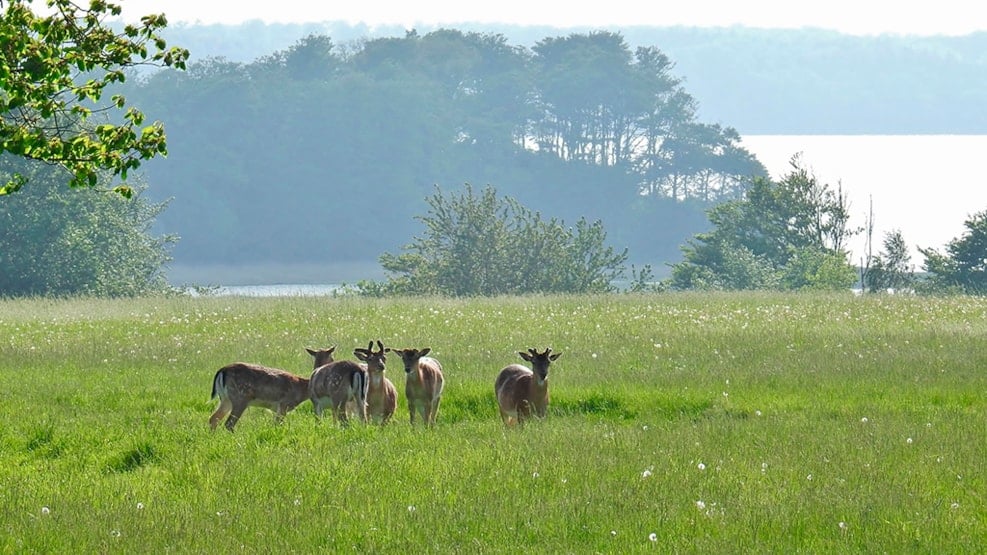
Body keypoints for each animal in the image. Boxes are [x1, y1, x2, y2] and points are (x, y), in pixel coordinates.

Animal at [208, 346, 336, 432]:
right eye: (332, 358)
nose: (334, 363)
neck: (302, 387)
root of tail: (222, 370)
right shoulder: (284, 404)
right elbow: (278, 424)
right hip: (240, 397)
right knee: (228, 423)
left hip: (225, 399)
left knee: (213, 418)